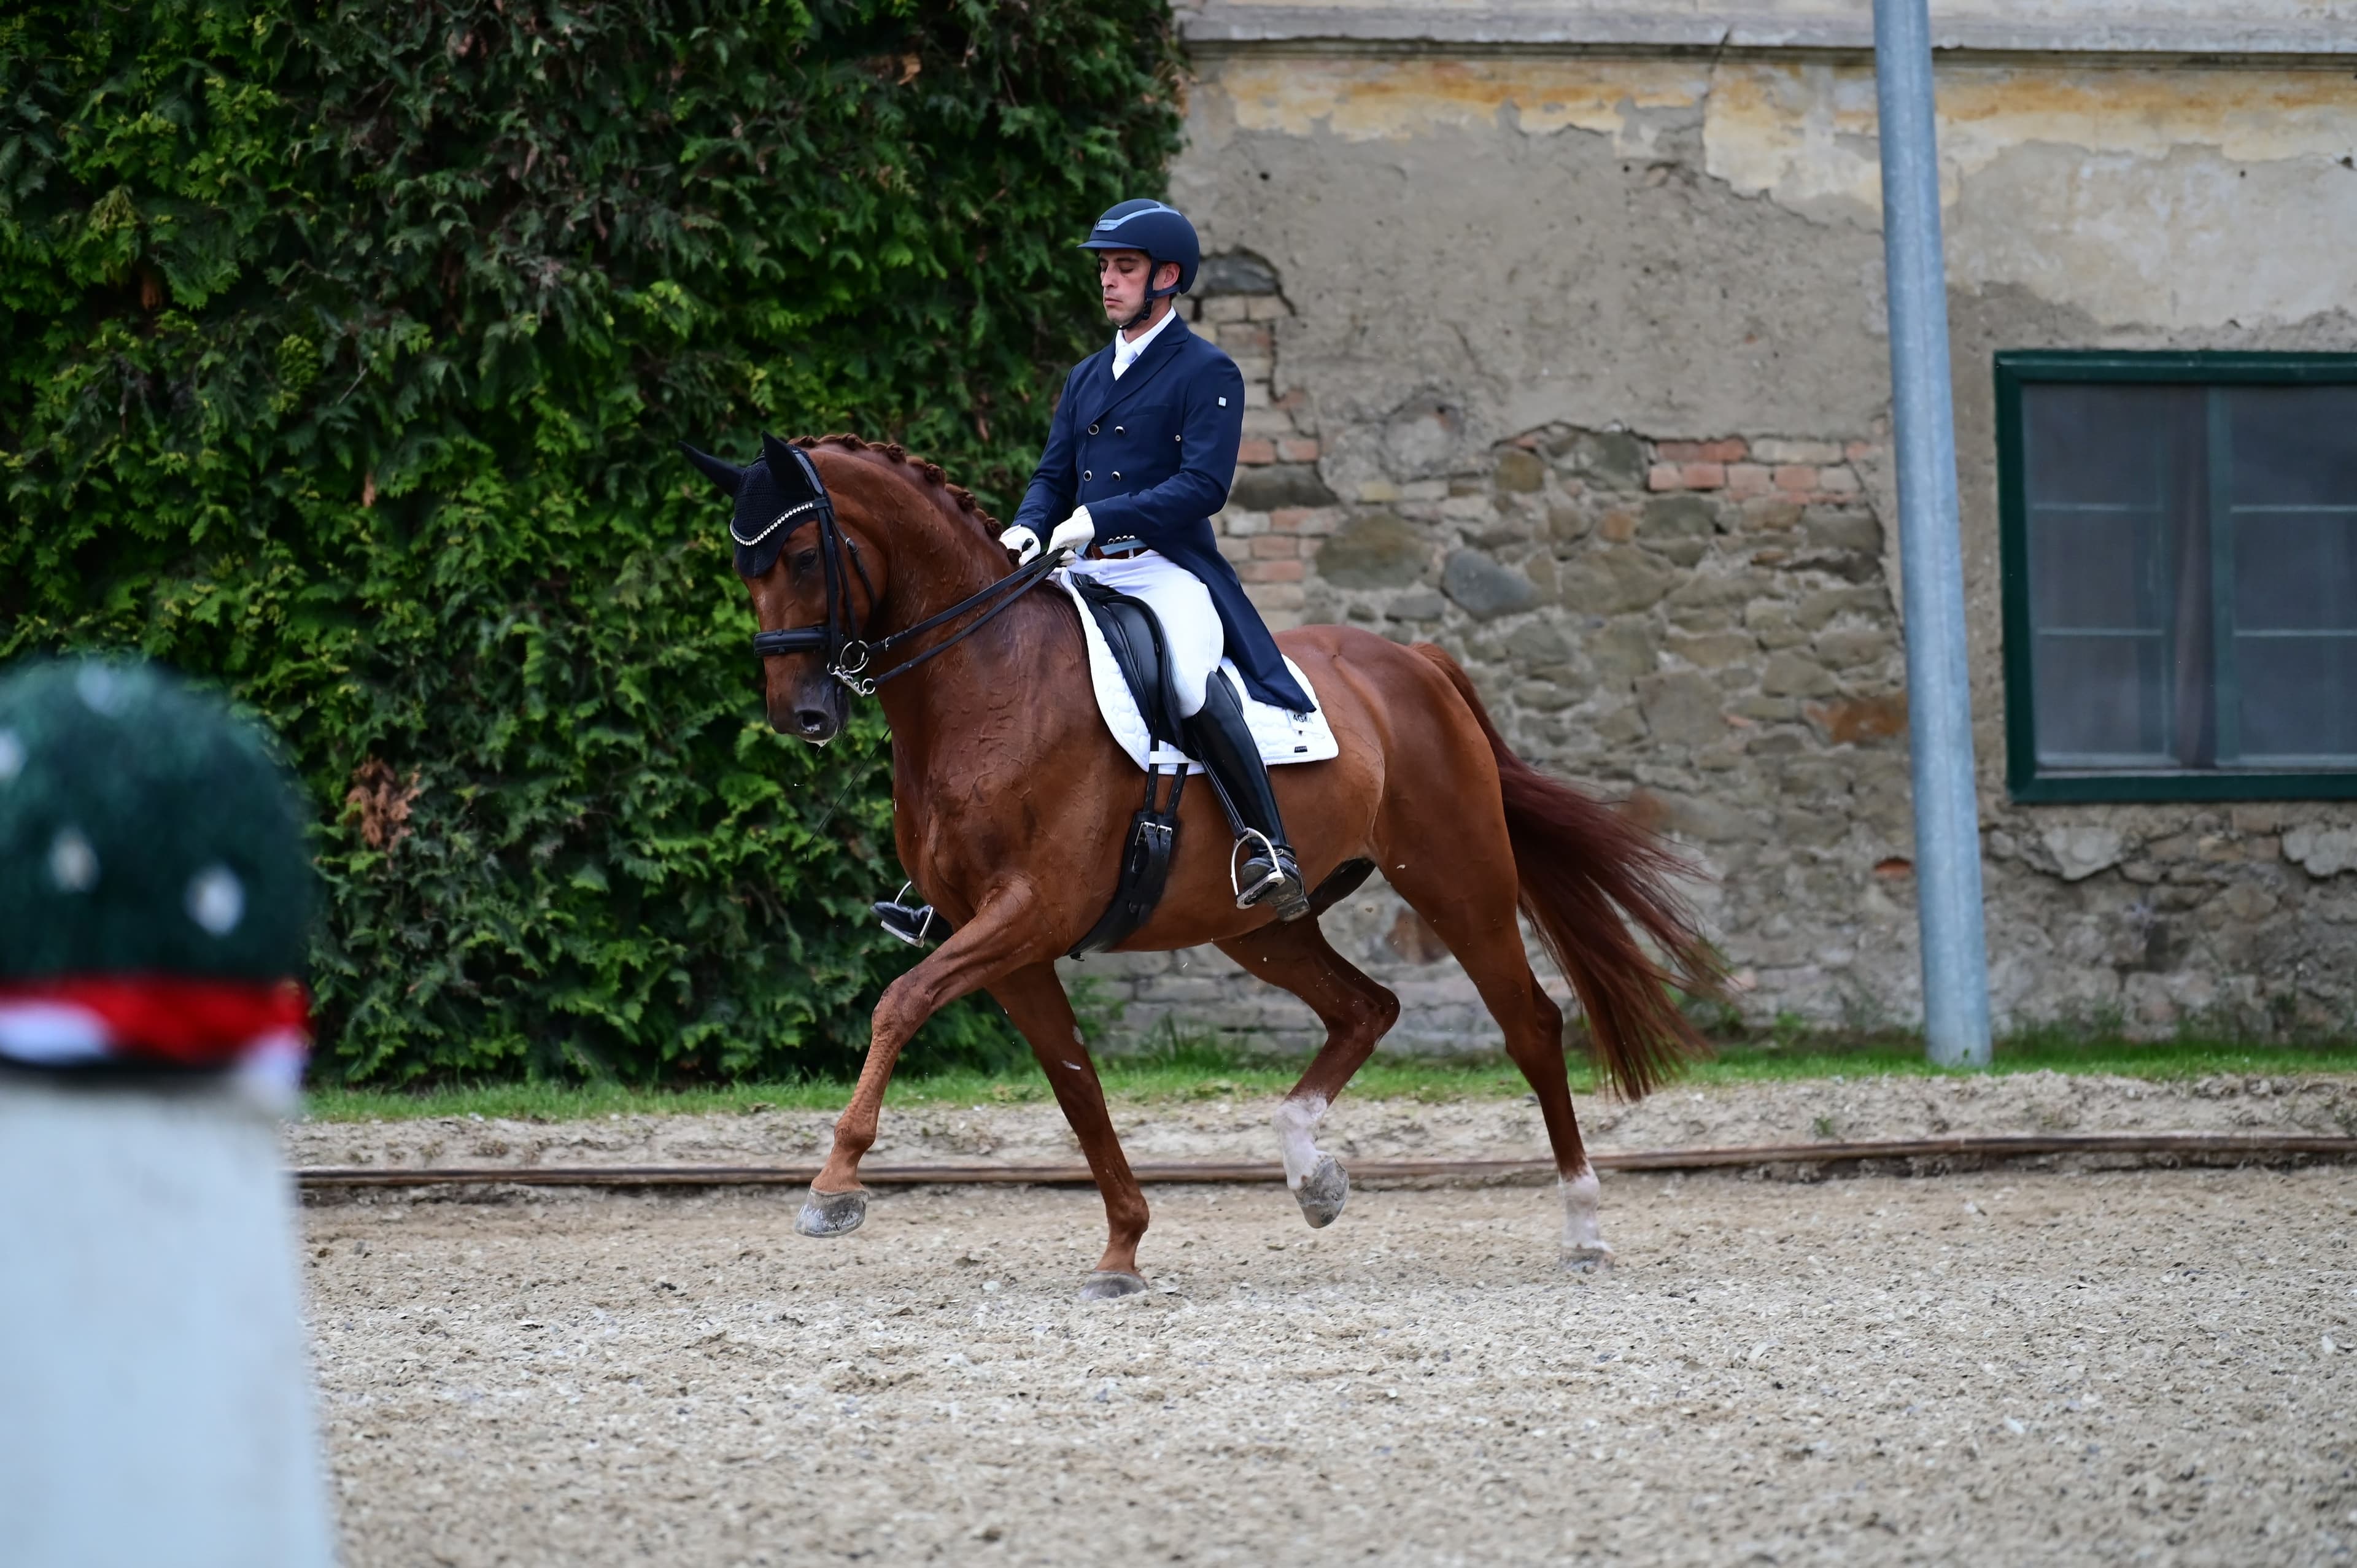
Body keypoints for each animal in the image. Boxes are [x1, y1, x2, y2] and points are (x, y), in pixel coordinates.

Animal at [694, 432, 1720, 1299]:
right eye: (744, 569)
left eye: (802, 558)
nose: (799, 714)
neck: (985, 680)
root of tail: (1414, 660)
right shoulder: (1009, 942)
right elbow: (1075, 1082)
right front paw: (1122, 1246)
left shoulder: (1032, 911)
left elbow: (899, 1001)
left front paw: (835, 1184)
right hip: (1256, 925)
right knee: (1367, 1007)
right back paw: (1312, 1173)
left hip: (1455, 877)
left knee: (1531, 1025)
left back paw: (1583, 1225)